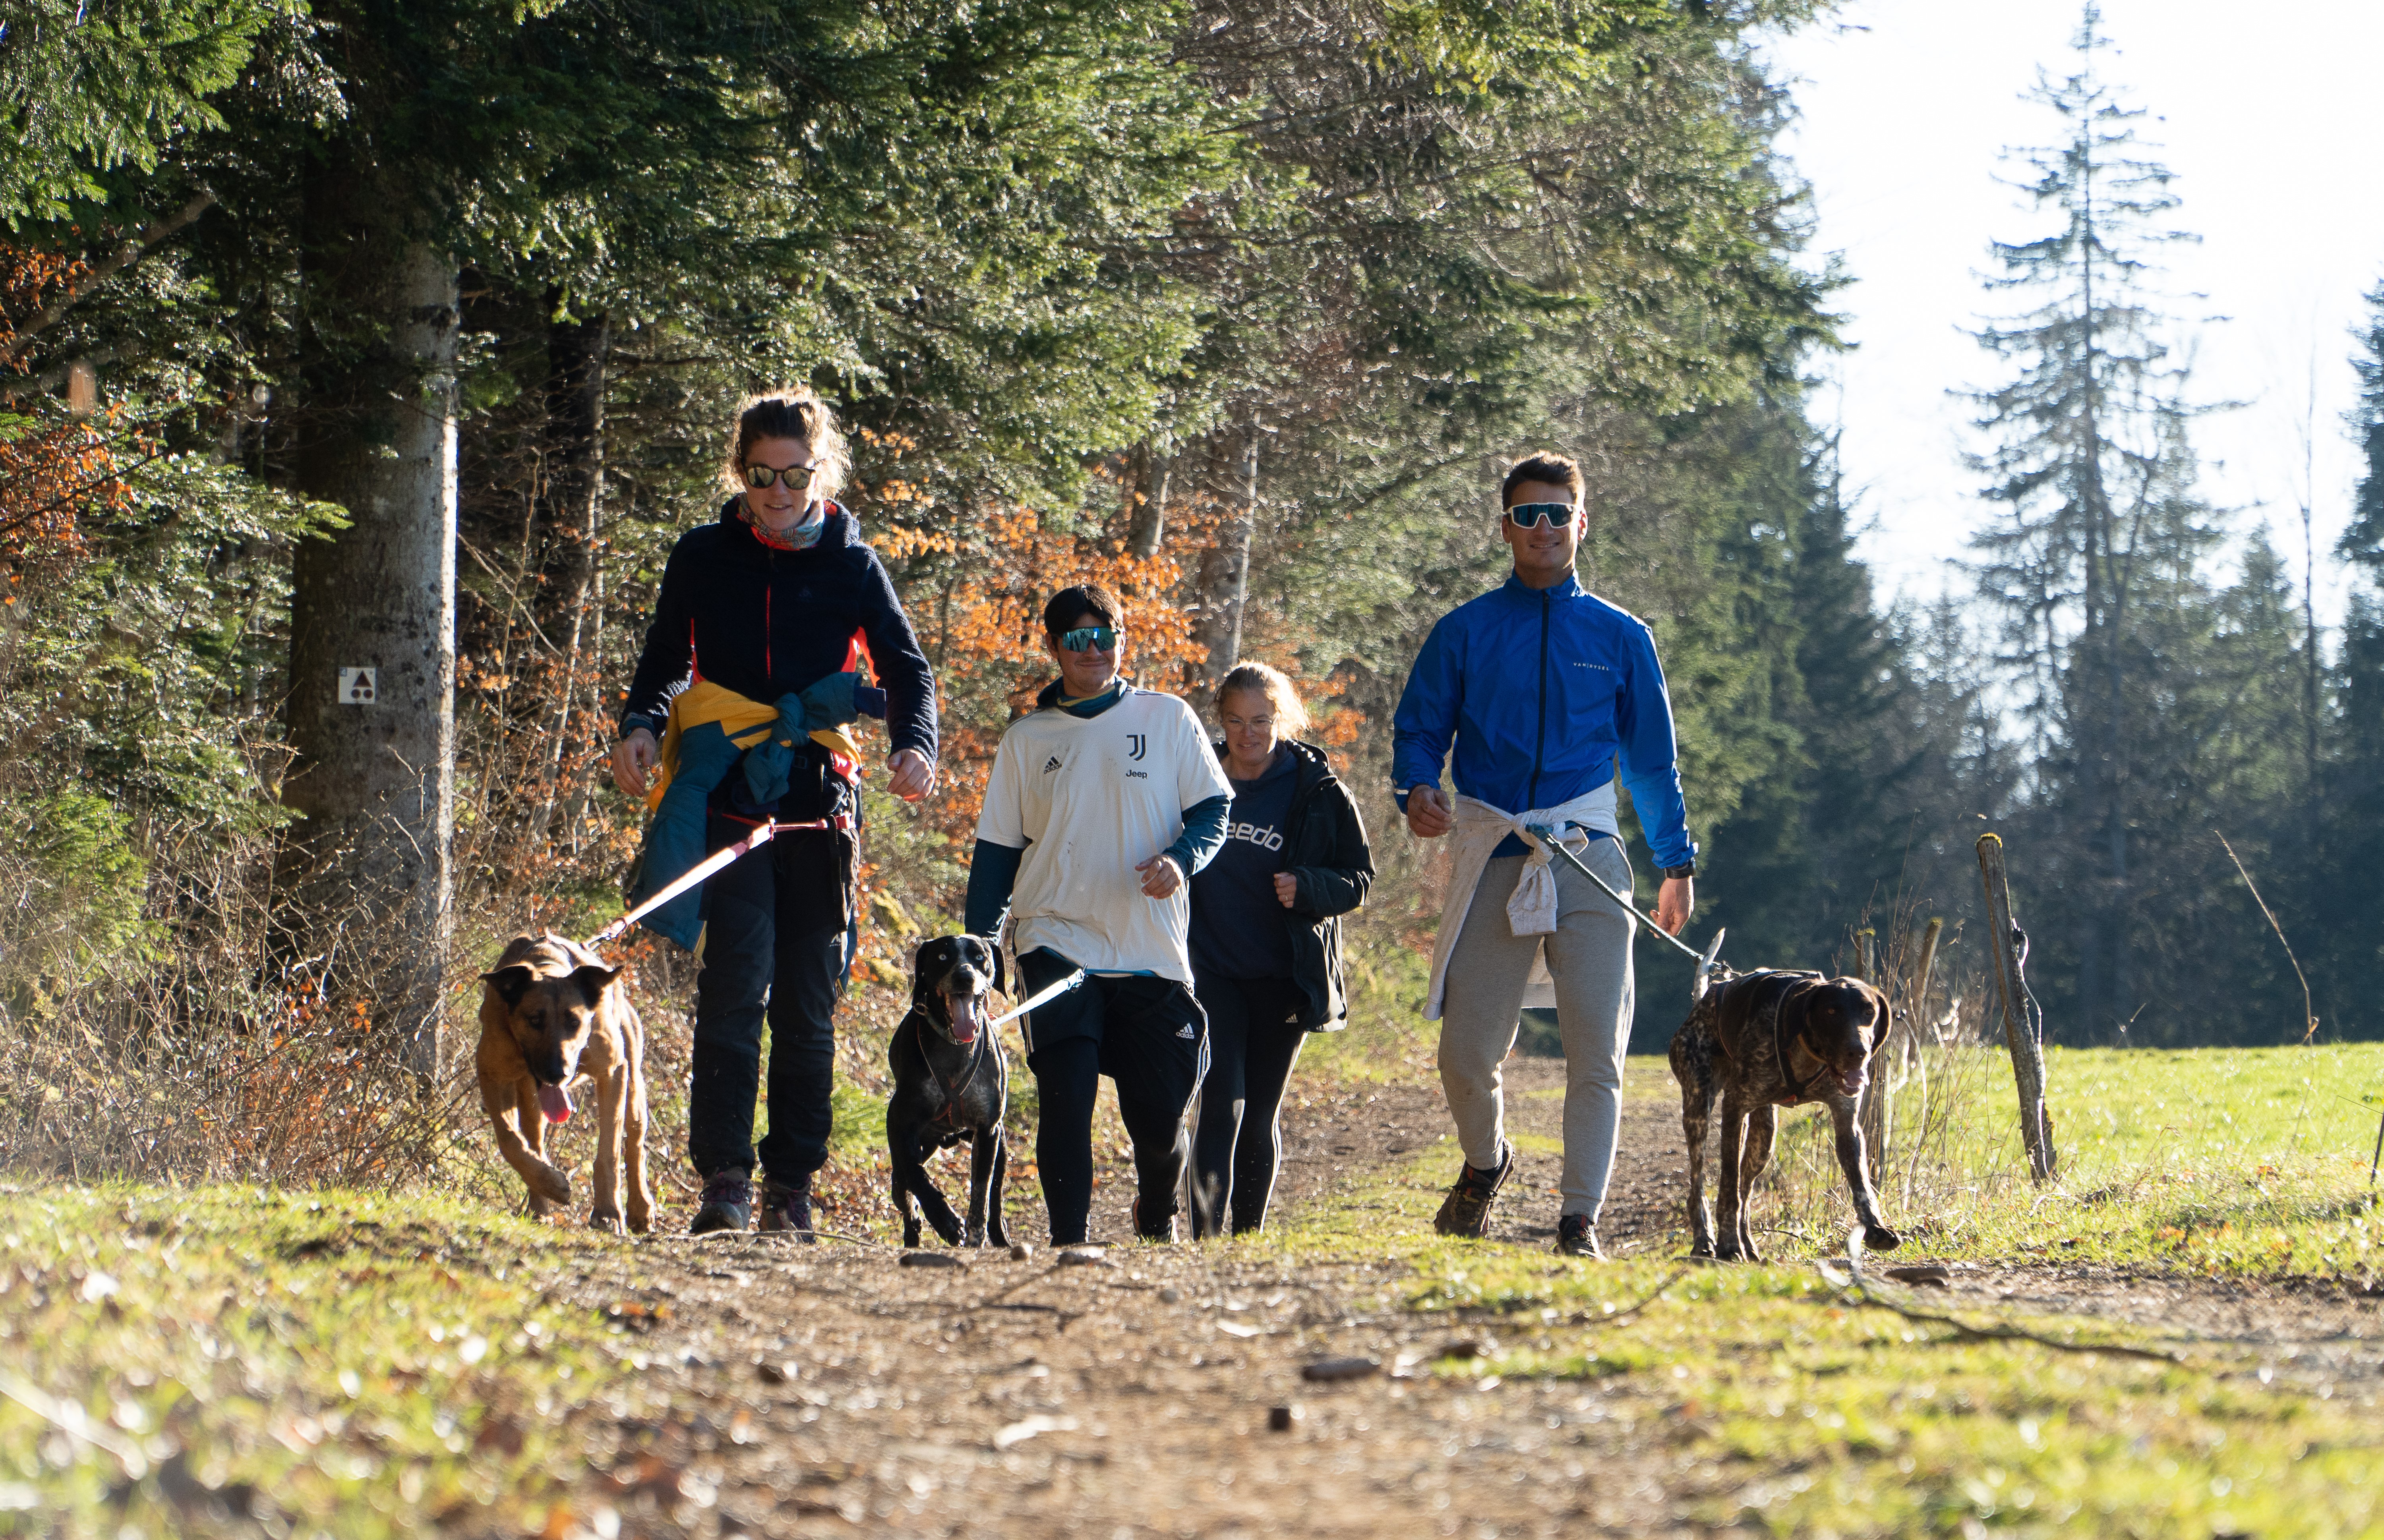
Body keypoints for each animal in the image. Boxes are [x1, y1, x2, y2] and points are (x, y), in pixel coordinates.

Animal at [474, 934, 653, 1239]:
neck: (548, 968)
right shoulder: (491, 1072)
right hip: (530, 1096)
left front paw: (608, 1213)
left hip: (632, 1081)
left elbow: (609, 1152)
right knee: (535, 1139)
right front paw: (550, 1182)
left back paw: (641, 1209)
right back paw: (541, 1203)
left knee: (636, 1141)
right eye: (535, 1019)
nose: (559, 1073)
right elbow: (510, 1140)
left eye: (575, 1022)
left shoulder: (613, 1071)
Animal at [892, 934, 1011, 1249]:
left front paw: (974, 1235)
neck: (954, 1045)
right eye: (943, 957)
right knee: (904, 1191)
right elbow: (917, 1175)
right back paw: (914, 1231)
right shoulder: (901, 1122)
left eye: (980, 957)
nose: (964, 977)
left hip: (1001, 1149)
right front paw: (943, 1219)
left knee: (995, 1200)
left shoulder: (988, 1131)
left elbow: (981, 1194)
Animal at [1678, 977, 1898, 1268]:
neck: (1807, 1055)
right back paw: (1705, 1241)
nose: (1858, 1051)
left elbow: (1862, 1185)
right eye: (1831, 1011)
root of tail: (1709, 994)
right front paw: (1728, 1245)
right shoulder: (1735, 1108)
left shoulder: (1847, 1122)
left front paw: (1875, 1228)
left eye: (1869, 1011)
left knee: (1746, 1192)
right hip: (1699, 1109)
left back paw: (1748, 1244)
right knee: (1699, 1185)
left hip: (1764, 1139)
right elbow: (1728, 1189)